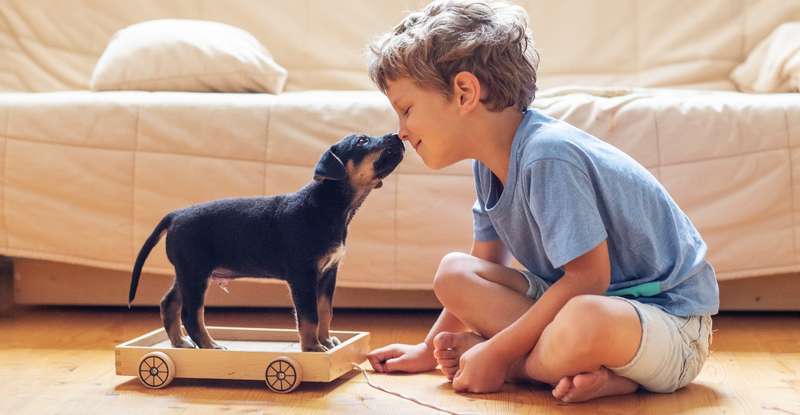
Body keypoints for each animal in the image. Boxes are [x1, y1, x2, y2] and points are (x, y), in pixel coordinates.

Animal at [132, 133, 406, 352]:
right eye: (362, 141)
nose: (396, 135)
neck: (328, 206)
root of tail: (176, 215)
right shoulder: (303, 276)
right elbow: (309, 316)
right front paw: (312, 347)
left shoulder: (328, 273)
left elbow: (325, 311)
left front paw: (326, 341)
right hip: (195, 272)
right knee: (191, 314)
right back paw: (209, 345)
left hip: (187, 272)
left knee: (169, 303)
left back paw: (180, 342)